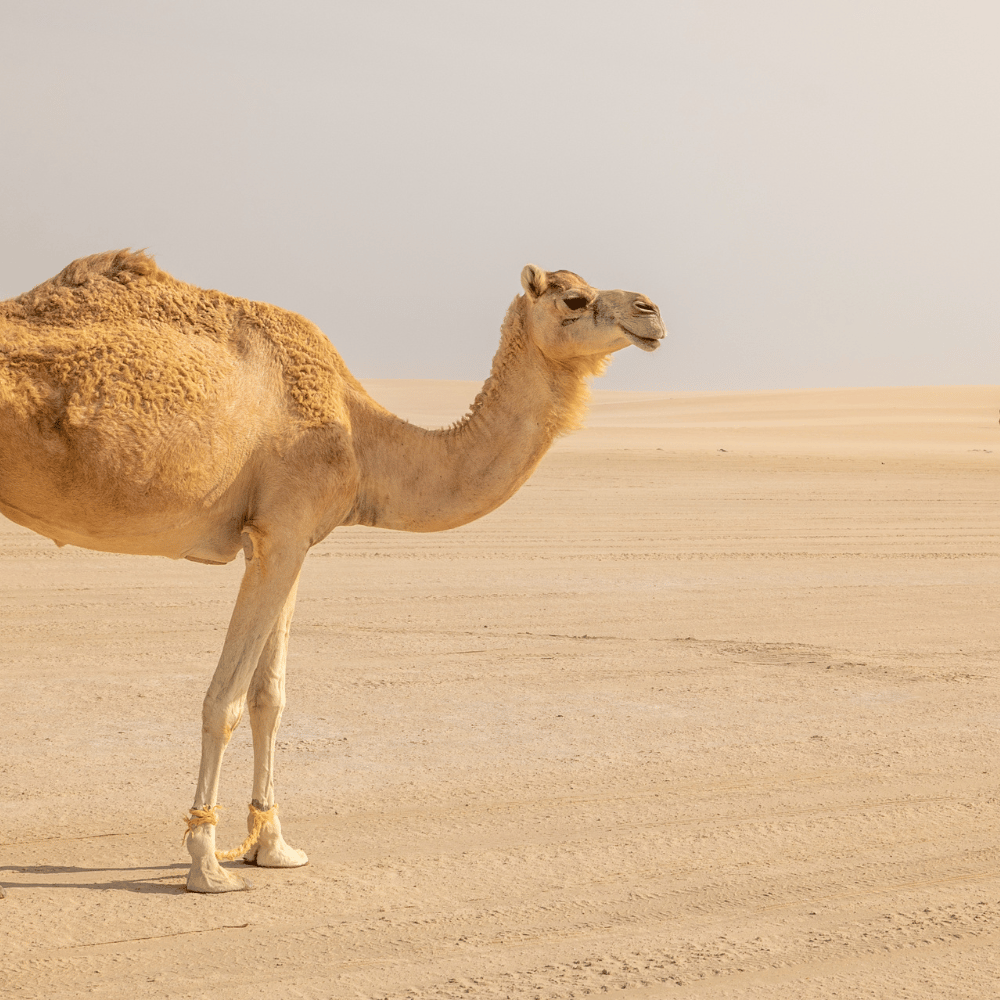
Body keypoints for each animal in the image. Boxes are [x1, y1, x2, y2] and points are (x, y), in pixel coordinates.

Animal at [0, 250, 665, 894]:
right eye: (574, 299)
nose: (652, 311)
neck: (363, 439)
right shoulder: (285, 529)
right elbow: (224, 701)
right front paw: (207, 866)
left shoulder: (280, 541)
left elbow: (269, 696)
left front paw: (273, 848)